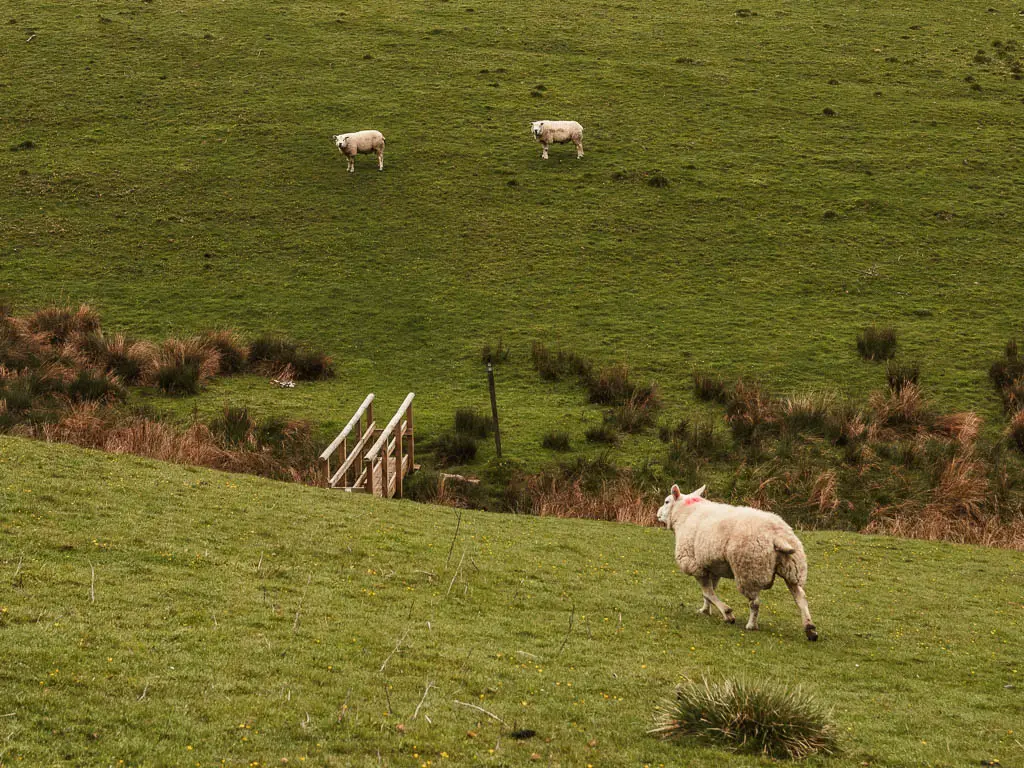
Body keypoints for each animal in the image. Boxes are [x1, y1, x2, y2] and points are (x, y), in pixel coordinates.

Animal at [659, 487, 819, 643]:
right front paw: (705, 610)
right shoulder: (712, 566)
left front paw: (727, 613)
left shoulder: (695, 565)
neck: (686, 514)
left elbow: (708, 593)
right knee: (800, 597)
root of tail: (777, 535)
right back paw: (810, 629)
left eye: (667, 501)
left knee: (755, 602)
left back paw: (751, 625)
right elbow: (709, 592)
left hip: (749, 569)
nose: (658, 514)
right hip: (792, 568)